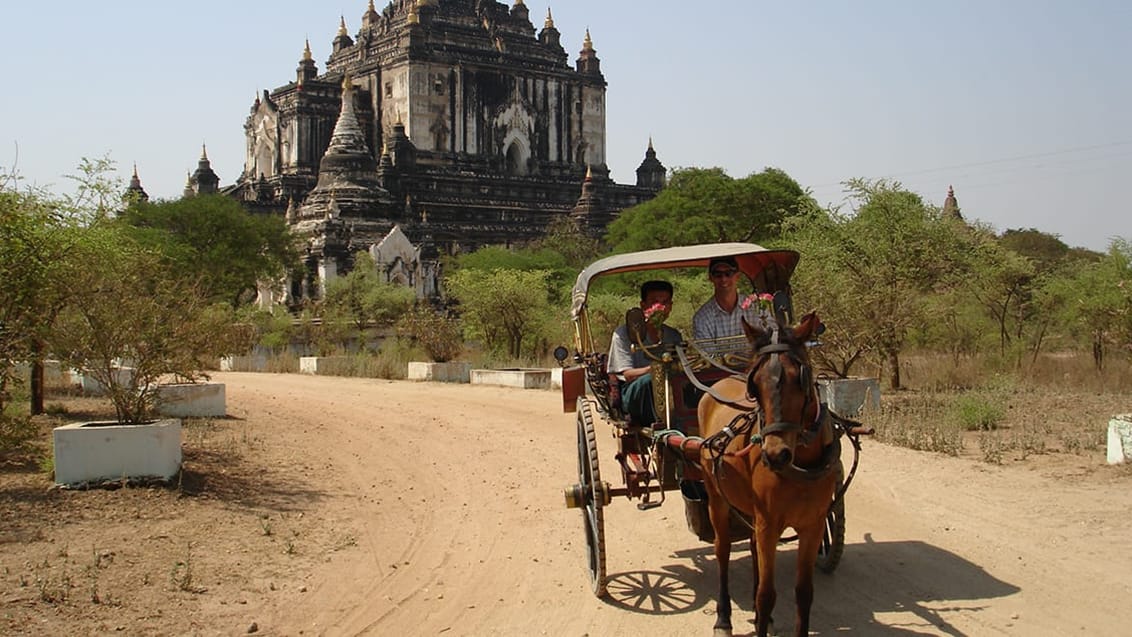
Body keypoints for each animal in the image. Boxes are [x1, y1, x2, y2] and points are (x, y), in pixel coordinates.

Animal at [692, 314, 846, 637]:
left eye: (801, 378)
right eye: (756, 385)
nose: (775, 454)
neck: (800, 466)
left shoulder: (813, 525)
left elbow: (803, 592)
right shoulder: (769, 524)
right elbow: (767, 594)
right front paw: (756, 610)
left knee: (751, 547)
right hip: (716, 498)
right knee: (722, 550)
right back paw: (723, 618)